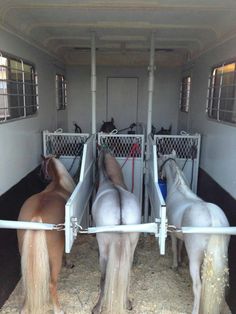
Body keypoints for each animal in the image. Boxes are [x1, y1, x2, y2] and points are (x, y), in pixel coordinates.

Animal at [17, 155, 75, 314]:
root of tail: (37, 216)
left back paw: (25, 308)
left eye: (43, 166)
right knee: (51, 284)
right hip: (54, 259)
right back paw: (58, 309)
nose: (40, 175)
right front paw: (69, 263)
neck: (59, 184)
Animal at [91, 148, 140, 312]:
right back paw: (127, 302)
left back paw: (97, 307)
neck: (110, 180)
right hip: (131, 248)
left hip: (104, 250)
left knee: (104, 277)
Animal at [158, 151, 230, 312]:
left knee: (198, 286)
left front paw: (175, 265)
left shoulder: (172, 233)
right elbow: (179, 247)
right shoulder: (181, 235)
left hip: (195, 258)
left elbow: (174, 247)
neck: (178, 188)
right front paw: (179, 261)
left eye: (160, 160)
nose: (160, 177)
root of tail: (214, 219)